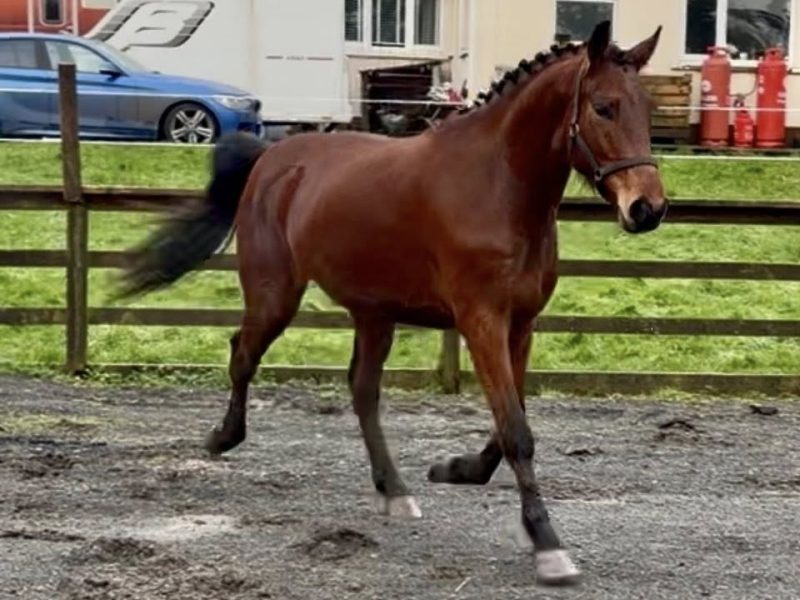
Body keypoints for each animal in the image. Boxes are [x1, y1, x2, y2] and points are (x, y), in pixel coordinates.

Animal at [120, 21, 666, 586]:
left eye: (647, 109)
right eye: (603, 107)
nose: (647, 209)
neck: (499, 185)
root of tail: (271, 158)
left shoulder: (521, 325)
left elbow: (506, 422)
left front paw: (456, 470)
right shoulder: (481, 321)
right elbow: (516, 429)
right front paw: (546, 543)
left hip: (373, 314)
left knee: (361, 390)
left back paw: (394, 490)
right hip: (276, 296)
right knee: (243, 354)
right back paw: (222, 438)